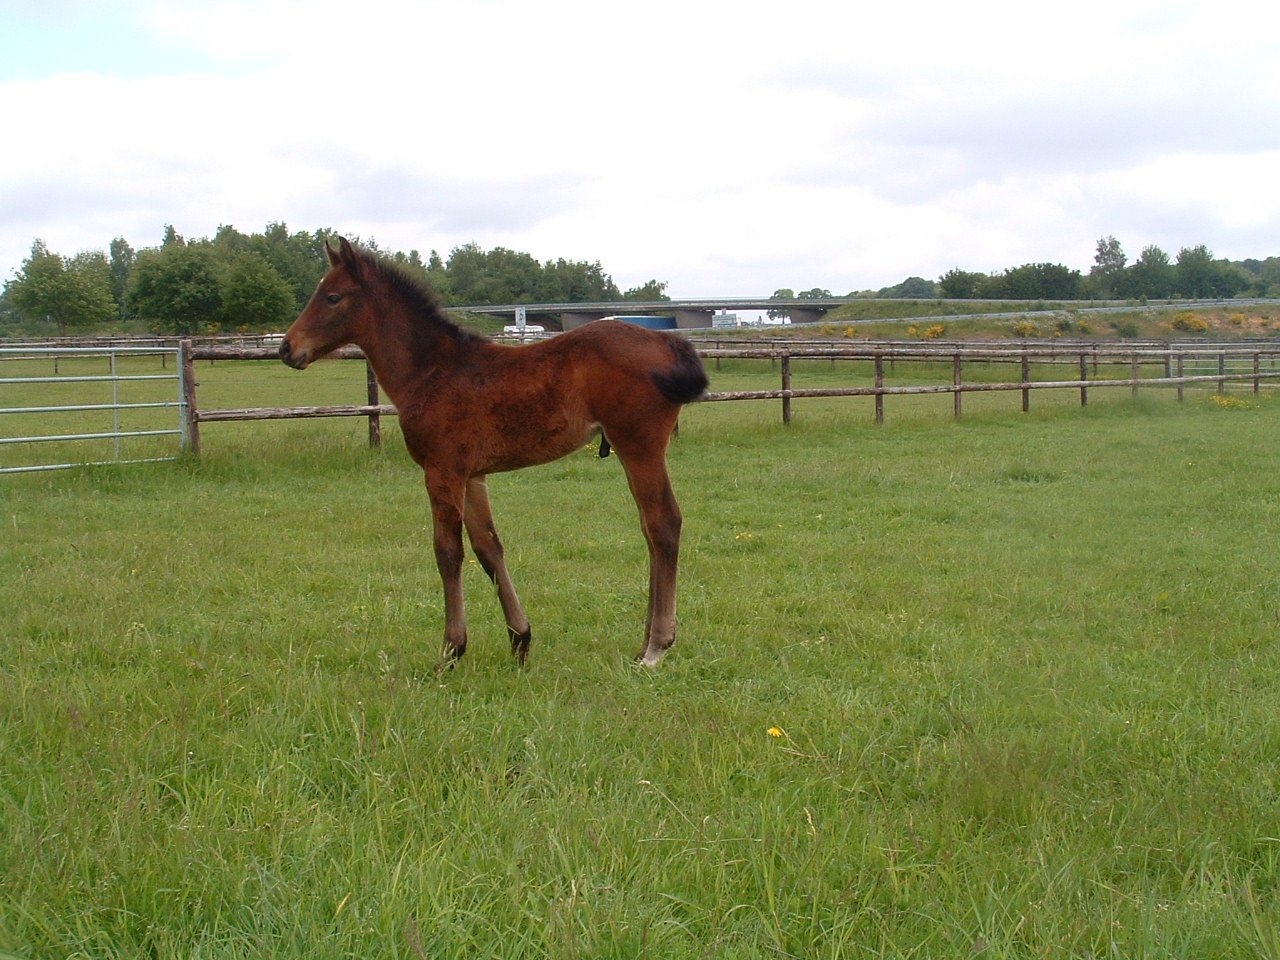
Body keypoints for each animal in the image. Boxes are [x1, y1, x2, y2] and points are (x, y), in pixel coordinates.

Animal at [279, 238, 708, 667]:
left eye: (332, 297)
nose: (287, 348)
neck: (432, 371)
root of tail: (668, 342)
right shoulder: (472, 475)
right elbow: (488, 549)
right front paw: (520, 639)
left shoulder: (442, 470)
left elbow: (448, 552)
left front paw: (451, 650)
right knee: (649, 529)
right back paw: (643, 643)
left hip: (640, 446)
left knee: (663, 524)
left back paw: (657, 647)